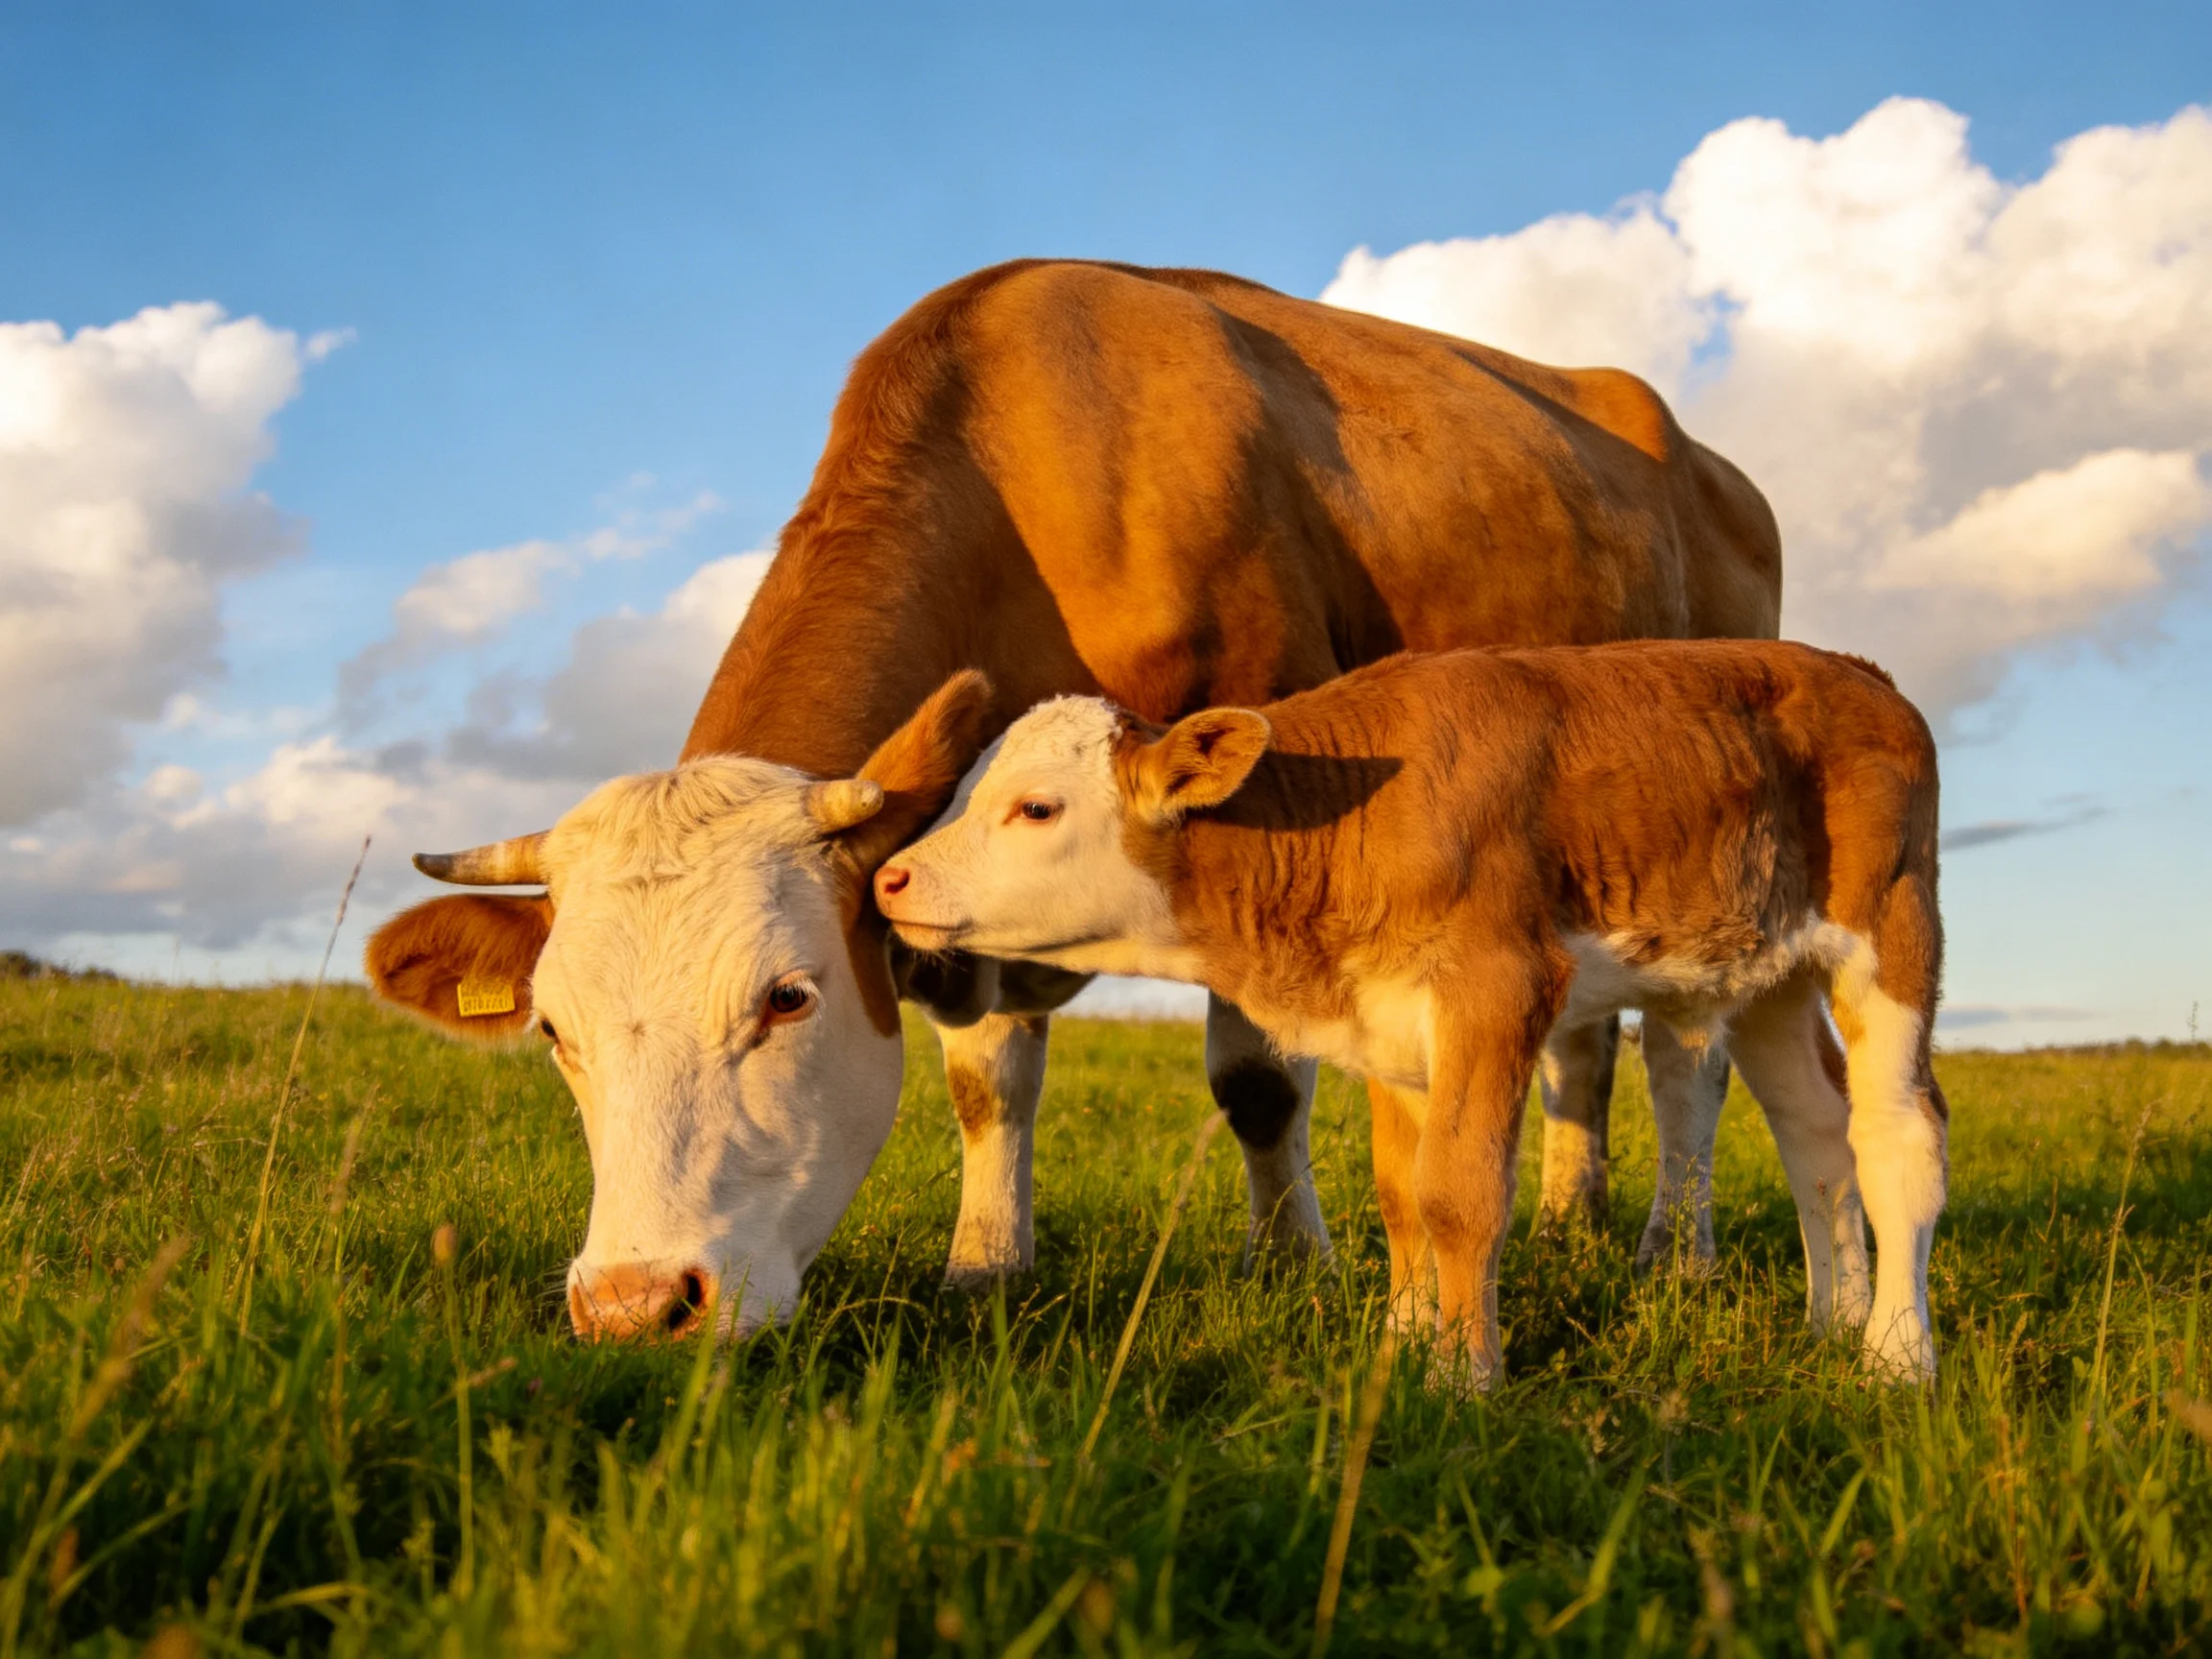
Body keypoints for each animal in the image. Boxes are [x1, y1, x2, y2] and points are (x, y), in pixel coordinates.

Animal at [363, 259, 1784, 1340]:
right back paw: (1571, 1216)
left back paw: (1676, 1248)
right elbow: (988, 1082)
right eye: (554, 1031)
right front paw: (987, 1263)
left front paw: (1294, 1261)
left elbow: (1257, 1081)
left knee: (1693, 1059)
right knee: (1586, 1045)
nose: (635, 1302)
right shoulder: (957, 889)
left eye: (787, 999)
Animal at [874, 642, 1948, 1386]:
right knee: (1818, 1133)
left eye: (1037, 808)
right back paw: (1836, 1319)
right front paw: (1401, 1340)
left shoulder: (1498, 986)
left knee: (1901, 1136)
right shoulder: (1388, 1021)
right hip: (1769, 976)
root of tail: (1864, 676)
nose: (891, 877)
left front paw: (1462, 1376)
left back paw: (1896, 1357)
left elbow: (1458, 1193)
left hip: (1891, 931)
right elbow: (1401, 1193)